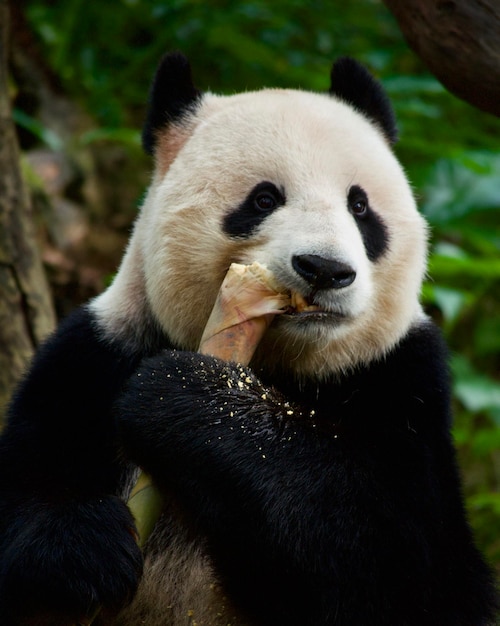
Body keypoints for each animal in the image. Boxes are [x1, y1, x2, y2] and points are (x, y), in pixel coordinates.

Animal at [0, 52, 496, 624]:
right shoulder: (96, 358)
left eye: (360, 208)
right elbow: (28, 484)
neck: (283, 368)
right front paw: (86, 548)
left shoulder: (403, 382)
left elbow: (411, 570)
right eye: (263, 199)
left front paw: (181, 396)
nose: (325, 269)